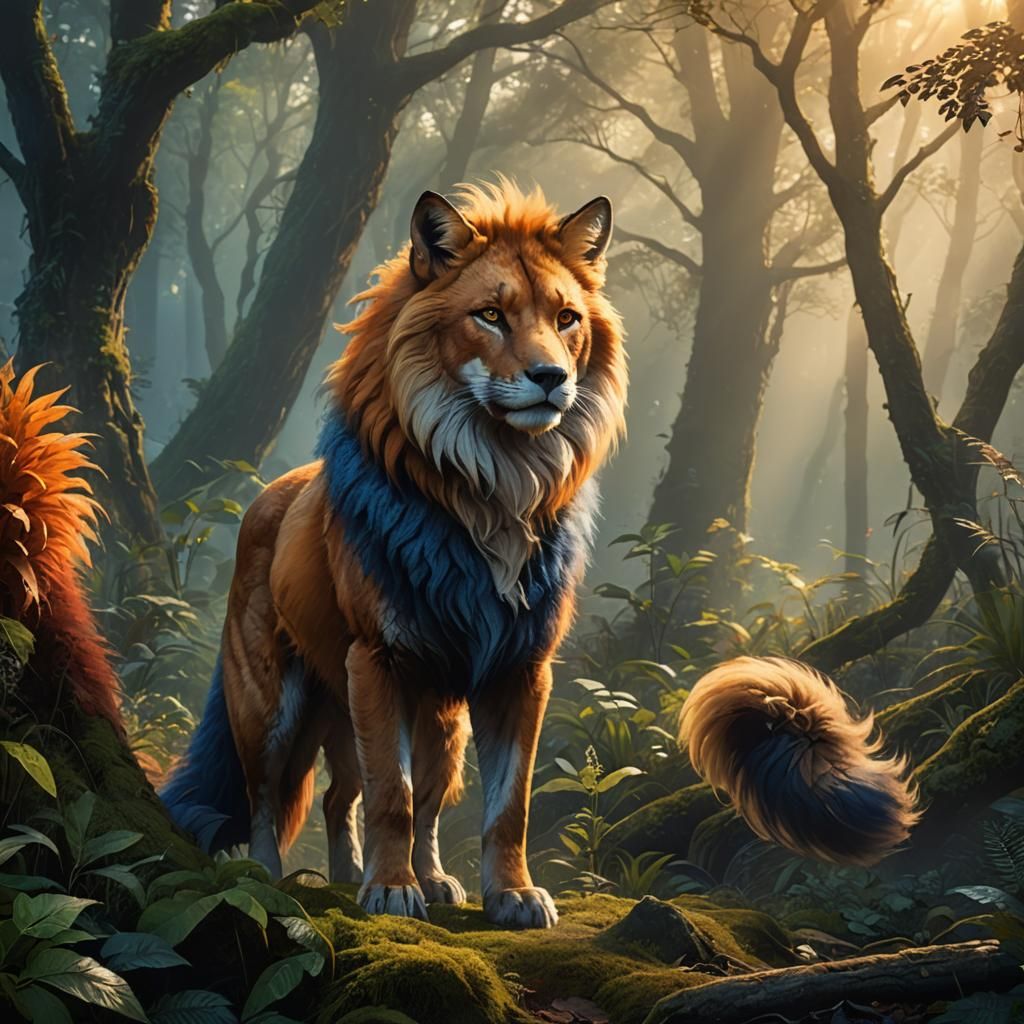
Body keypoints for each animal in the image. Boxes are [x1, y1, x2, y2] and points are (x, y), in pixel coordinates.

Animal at [162, 181, 628, 928]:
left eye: (566, 319)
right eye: (490, 315)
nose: (552, 376)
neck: (497, 486)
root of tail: (269, 494)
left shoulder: (520, 670)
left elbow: (506, 806)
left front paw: (512, 895)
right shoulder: (377, 660)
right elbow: (391, 796)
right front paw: (389, 892)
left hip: (436, 715)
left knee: (372, 797)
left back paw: (409, 878)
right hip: (273, 705)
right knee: (270, 799)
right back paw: (275, 876)